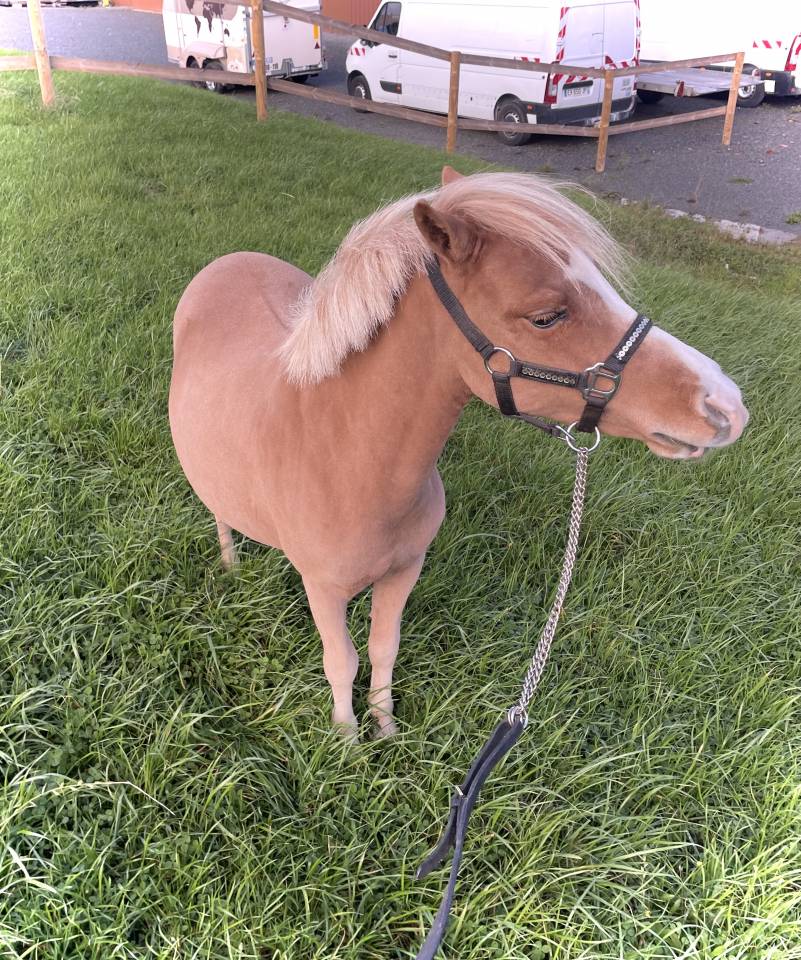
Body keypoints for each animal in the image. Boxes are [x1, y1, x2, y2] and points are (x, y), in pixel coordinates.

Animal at [169, 166, 748, 739]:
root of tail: (229, 260)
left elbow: (383, 647)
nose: (725, 405)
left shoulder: (405, 571)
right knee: (219, 513)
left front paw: (386, 731)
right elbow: (342, 661)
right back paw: (230, 565)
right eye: (546, 317)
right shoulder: (324, 588)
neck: (345, 453)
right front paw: (347, 741)